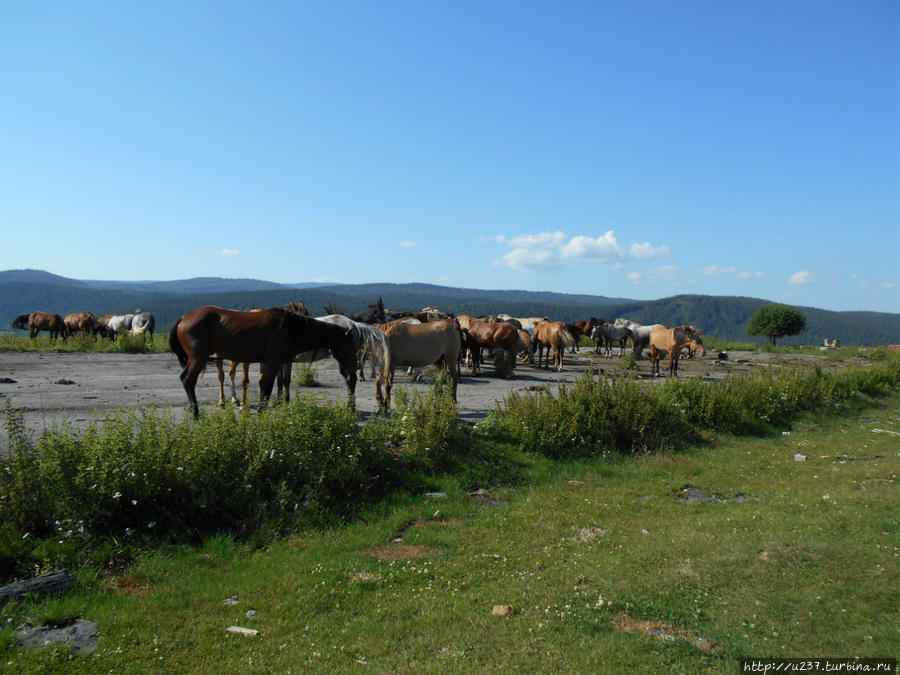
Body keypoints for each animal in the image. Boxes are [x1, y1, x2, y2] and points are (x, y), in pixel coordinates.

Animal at [169, 306, 356, 418]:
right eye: (349, 346)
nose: (351, 371)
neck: (291, 328)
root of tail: (184, 317)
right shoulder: (274, 362)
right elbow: (267, 388)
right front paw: (261, 411)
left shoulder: (268, 363)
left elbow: (265, 386)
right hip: (198, 359)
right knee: (188, 380)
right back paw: (196, 413)